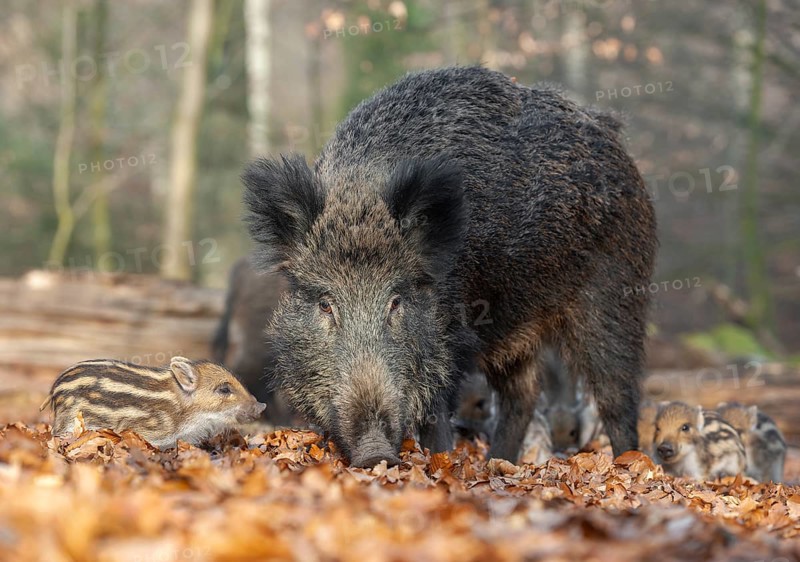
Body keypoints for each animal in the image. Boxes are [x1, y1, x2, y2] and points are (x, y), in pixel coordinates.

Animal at [242, 66, 657, 466]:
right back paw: (497, 464)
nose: (376, 453)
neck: (360, 189)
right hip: (515, 328)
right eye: (325, 303)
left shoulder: (451, 334)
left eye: (396, 301)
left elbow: (437, 410)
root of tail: (608, 129)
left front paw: (439, 461)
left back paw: (629, 462)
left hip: (614, 296)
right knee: (523, 394)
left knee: (616, 396)